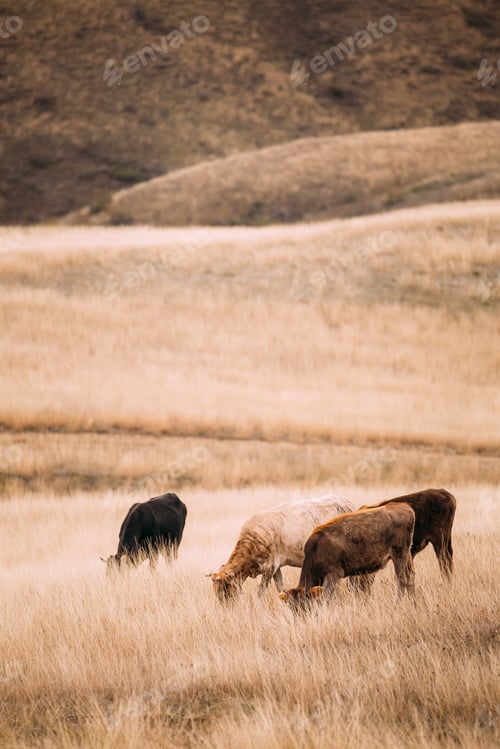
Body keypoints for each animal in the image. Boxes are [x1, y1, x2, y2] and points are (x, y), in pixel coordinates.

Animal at [210, 494, 354, 603]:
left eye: (225, 588)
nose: (225, 608)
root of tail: (345, 501)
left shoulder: (270, 567)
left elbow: (261, 591)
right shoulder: (276, 567)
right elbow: (280, 586)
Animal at [279, 503, 416, 609]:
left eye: (305, 605)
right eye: (291, 608)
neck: (316, 549)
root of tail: (405, 507)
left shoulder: (334, 574)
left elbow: (327, 597)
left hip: (399, 554)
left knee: (402, 580)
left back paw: (397, 604)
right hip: (407, 555)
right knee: (410, 577)